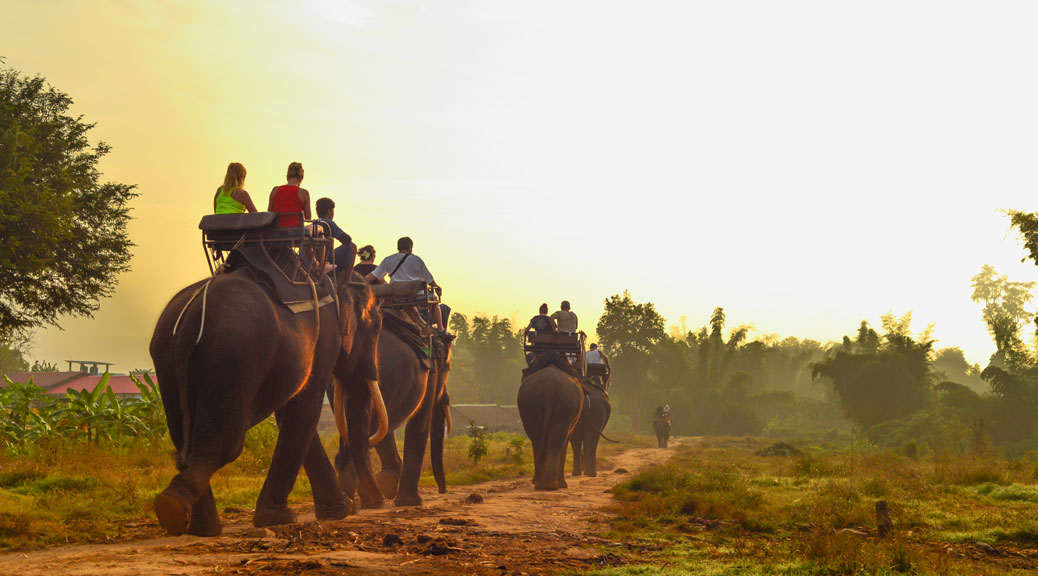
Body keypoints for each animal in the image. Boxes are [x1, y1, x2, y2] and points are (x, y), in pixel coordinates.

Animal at [148, 267, 388, 539]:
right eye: (376, 328)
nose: (379, 501)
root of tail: (191, 316)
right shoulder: (324, 338)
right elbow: (306, 407)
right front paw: (280, 517)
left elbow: (289, 412)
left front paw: (339, 511)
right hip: (233, 354)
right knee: (223, 444)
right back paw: (174, 507)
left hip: (166, 356)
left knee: (183, 442)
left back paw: (200, 527)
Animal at [334, 315, 452, 508]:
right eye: (448, 368)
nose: (443, 490)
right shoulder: (430, 375)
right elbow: (419, 424)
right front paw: (410, 502)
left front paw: (389, 484)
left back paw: (362, 499)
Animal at [516, 352, 585, 494]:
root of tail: (550, 385)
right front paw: (563, 484)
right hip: (565, 404)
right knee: (558, 439)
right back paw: (552, 485)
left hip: (531, 402)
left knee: (537, 437)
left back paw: (541, 484)